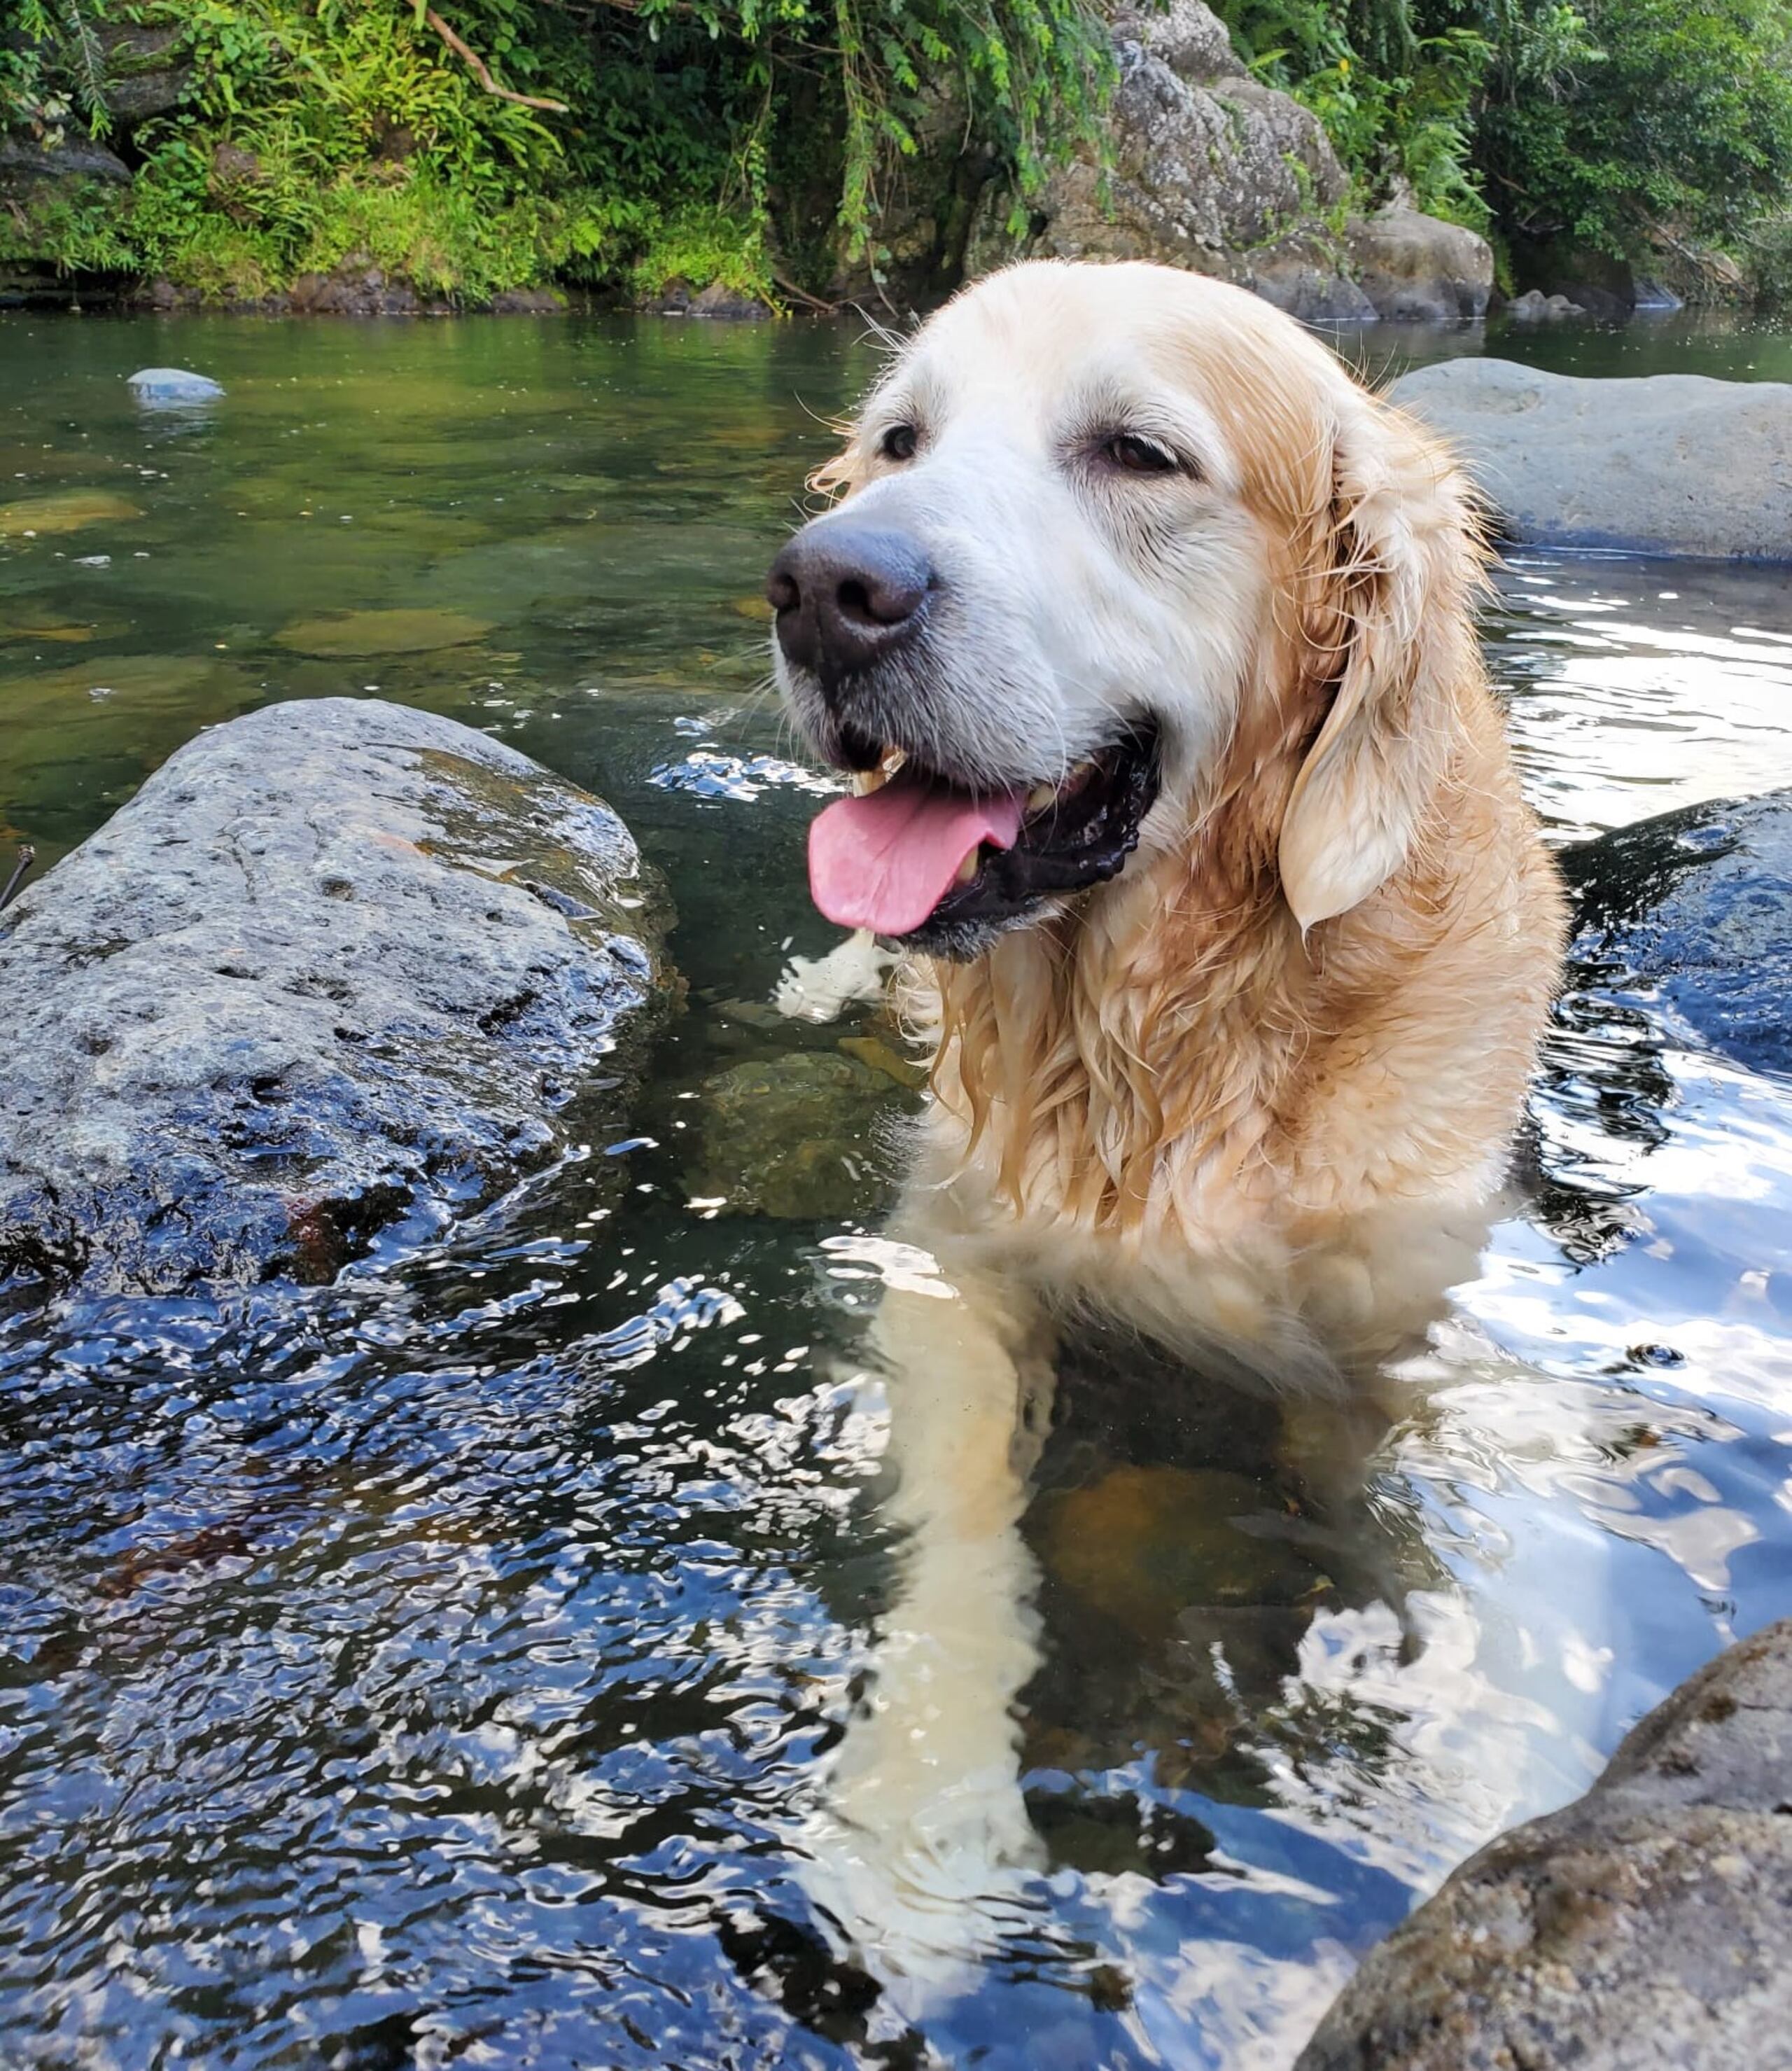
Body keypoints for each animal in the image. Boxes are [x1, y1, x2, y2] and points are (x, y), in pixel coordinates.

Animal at [762, 263, 1558, 1988]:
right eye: (901, 438)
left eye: (1138, 453)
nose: (822, 585)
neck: (1170, 1033)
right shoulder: (953, 1260)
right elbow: (963, 1530)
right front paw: (920, 1804)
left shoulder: (1395, 1317)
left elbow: (1392, 1514)